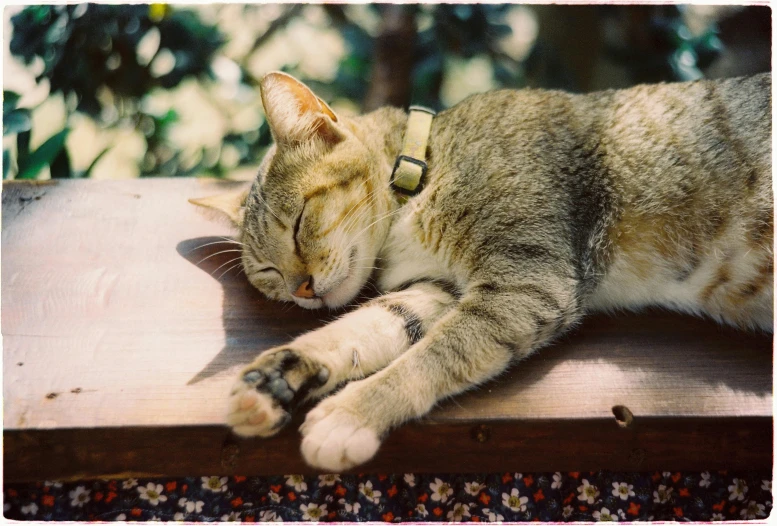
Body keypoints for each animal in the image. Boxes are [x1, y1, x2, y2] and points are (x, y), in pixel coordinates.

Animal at [192, 71, 768, 474]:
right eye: (268, 271)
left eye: (298, 225)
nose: (303, 289)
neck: (423, 166)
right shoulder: (438, 289)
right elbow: (363, 329)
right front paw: (280, 376)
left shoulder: (525, 282)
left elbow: (434, 355)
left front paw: (352, 413)